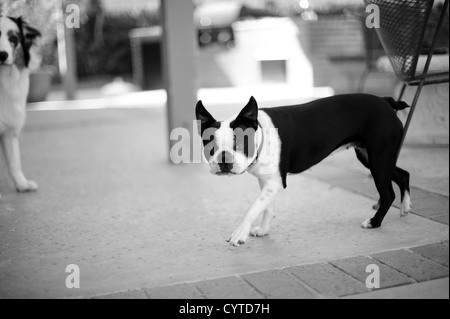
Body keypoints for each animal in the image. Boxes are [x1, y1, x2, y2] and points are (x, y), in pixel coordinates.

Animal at [197, 95, 412, 248]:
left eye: (241, 144)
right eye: (211, 147)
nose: (224, 159)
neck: (261, 133)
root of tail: (385, 101)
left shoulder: (275, 183)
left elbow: (253, 208)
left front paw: (239, 233)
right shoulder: (268, 182)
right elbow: (267, 208)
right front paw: (264, 230)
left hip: (379, 159)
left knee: (388, 194)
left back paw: (374, 222)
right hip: (372, 158)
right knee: (403, 174)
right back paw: (405, 206)